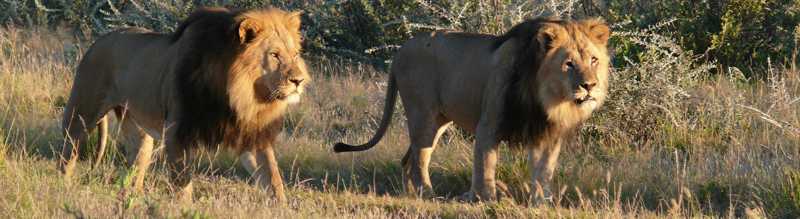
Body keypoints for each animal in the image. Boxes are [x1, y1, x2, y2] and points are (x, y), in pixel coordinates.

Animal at [58, 6, 310, 202]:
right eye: (275, 55)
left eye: (295, 54)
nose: (299, 81)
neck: (238, 96)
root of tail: (98, 41)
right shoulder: (177, 133)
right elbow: (182, 187)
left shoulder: (251, 136)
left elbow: (273, 179)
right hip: (80, 114)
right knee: (67, 156)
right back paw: (65, 191)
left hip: (139, 133)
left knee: (134, 173)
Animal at [334, 18, 608, 201]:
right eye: (569, 64)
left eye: (593, 60)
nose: (590, 86)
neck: (547, 98)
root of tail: (400, 50)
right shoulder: (489, 125)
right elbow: (485, 165)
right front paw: (486, 200)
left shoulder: (545, 133)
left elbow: (544, 171)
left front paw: (541, 203)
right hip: (422, 114)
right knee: (419, 158)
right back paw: (428, 194)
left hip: (439, 121)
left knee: (408, 159)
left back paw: (410, 194)